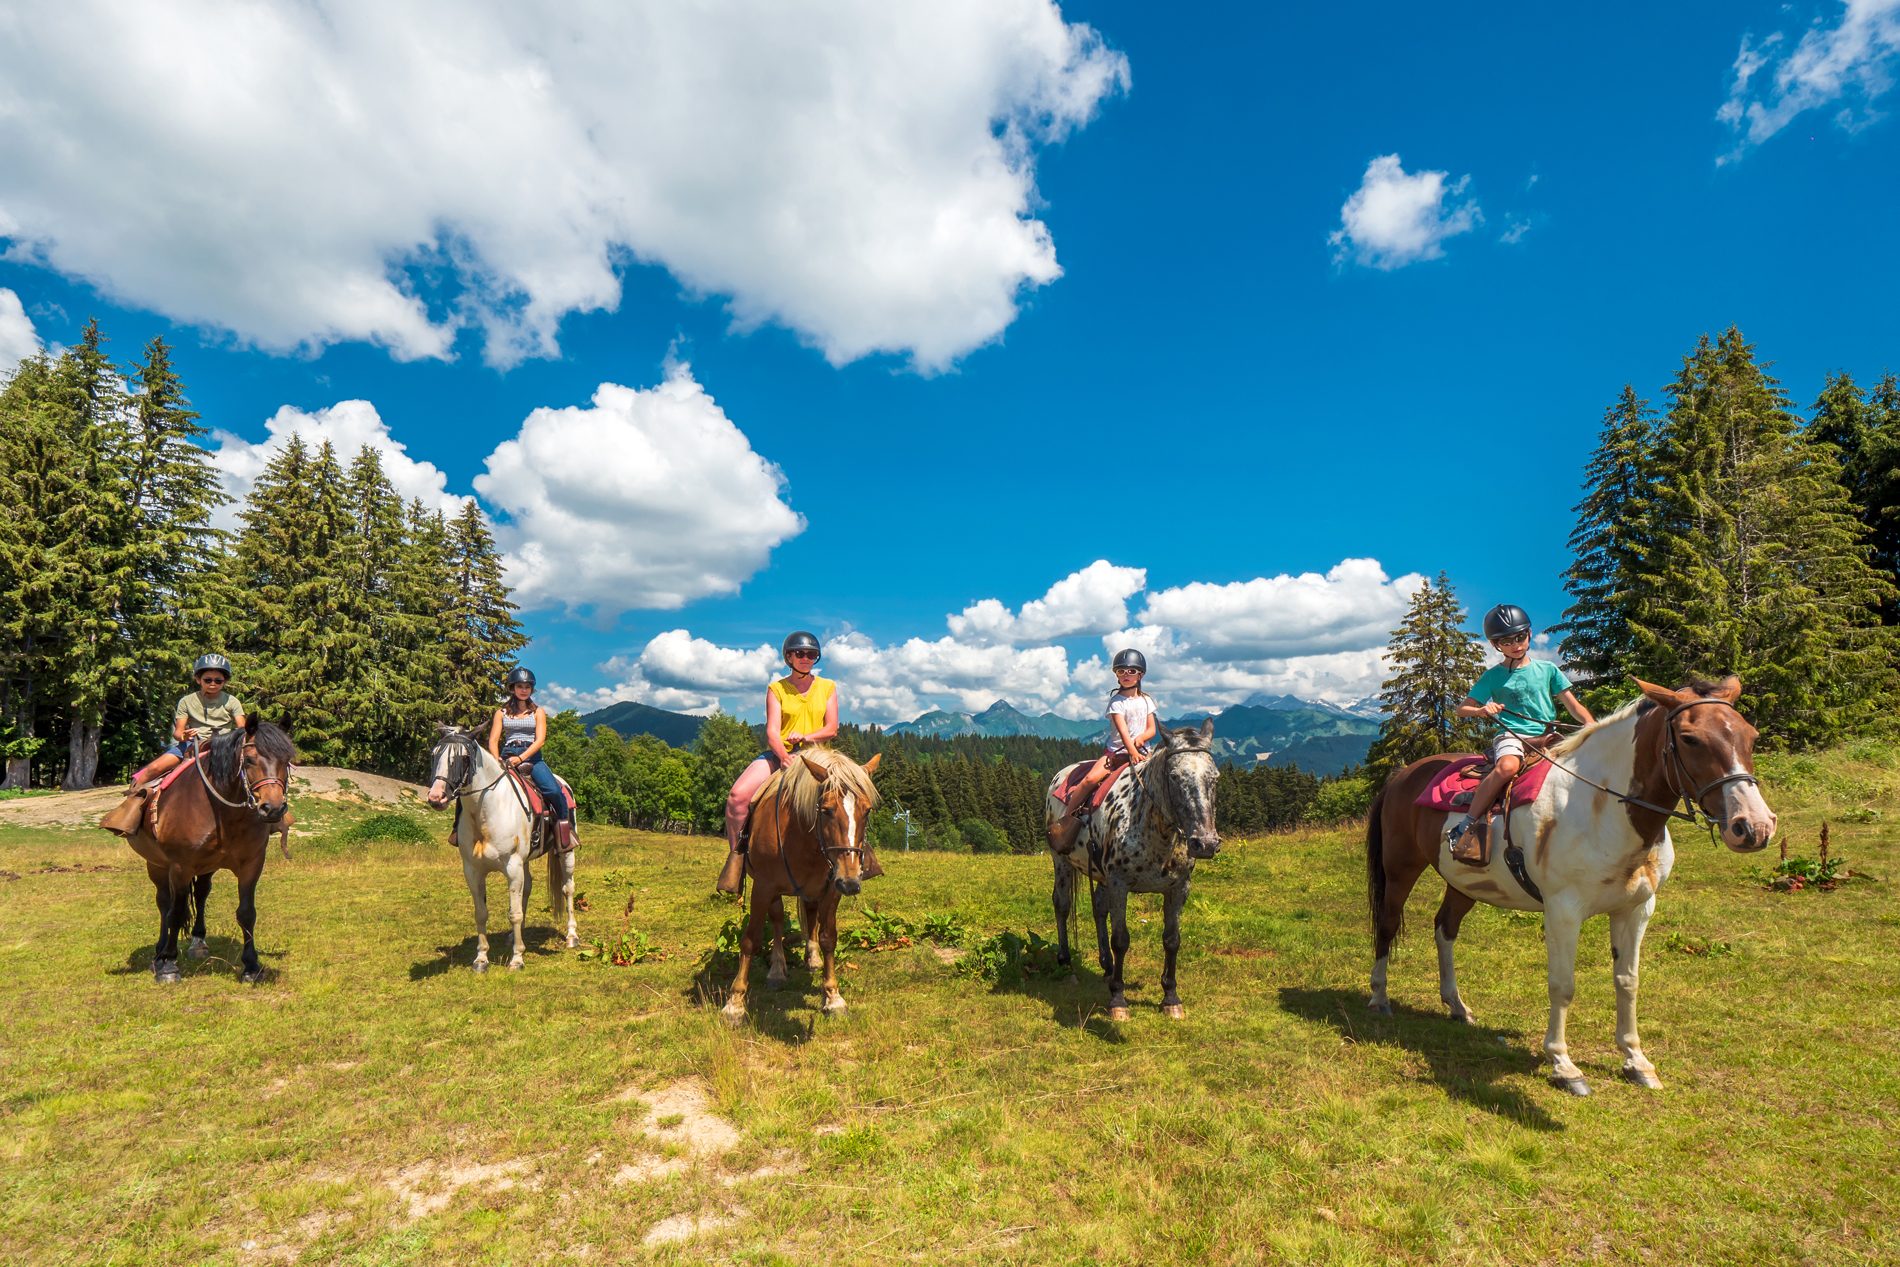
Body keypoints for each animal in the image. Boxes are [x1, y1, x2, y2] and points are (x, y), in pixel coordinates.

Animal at [425, 721, 577, 972]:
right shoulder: (472, 870)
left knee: (568, 889)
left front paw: (517, 959)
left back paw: (572, 936)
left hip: (566, 853)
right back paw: (514, 936)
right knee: (528, 888)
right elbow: (481, 913)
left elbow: (514, 913)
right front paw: (481, 959)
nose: (436, 797)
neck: (486, 812)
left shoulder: (512, 866)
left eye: (464, 758)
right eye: (434, 754)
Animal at [718, 748, 881, 1025]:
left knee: (809, 916)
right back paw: (776, 970)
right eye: (826, 810)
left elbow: (828, 937)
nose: (850, 881)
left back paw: (812, 958)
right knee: (777, 920)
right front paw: (735, 1004)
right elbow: (750, 940)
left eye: (867, 810)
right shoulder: (763, 887)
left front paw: (833, 997)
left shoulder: (831, 889)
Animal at [1048, 718, 1223, 1025]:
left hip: (1100, 875)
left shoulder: (1179, 888)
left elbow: (1172, 940)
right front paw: (1118, 1000)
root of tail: (1061, 775)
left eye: (1215, 777)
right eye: (1174, 776)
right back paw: (1066, 961)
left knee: (1099, 908)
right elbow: (1121, 940)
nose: (1205, 843)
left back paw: (1106, 965)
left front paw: (1171, 997)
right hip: (1062, 862)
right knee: (1062, 905)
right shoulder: (1120, 884)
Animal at [1368, 680, 1778, 1094]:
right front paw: (1564, 1066)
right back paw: (1380, 998)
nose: (1754, 826)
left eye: (1751, 736)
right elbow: (1562, 985)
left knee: (1445, 928)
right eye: (1691, 738)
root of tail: (1403, 774)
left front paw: (1636, 1061)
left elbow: (1628, 981)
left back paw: (1457, 1006)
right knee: (1387, 924)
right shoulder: (1563, 911)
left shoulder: (1636, 909)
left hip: (1464, 883)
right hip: (1401, 867)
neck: (1602, 809)